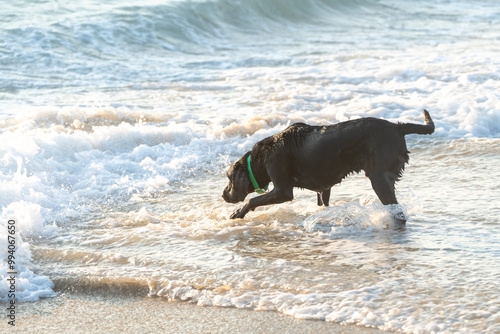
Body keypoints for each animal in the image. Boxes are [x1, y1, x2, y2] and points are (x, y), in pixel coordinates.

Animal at [223, 109, 434, 222]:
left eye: (229, 178)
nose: (224, 195)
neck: (262, 157)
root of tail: (397, 127)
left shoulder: (283, 190)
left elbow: (252, 200)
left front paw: (237, 213)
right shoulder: (323, 188)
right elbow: (323, 202)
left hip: (379, 177)